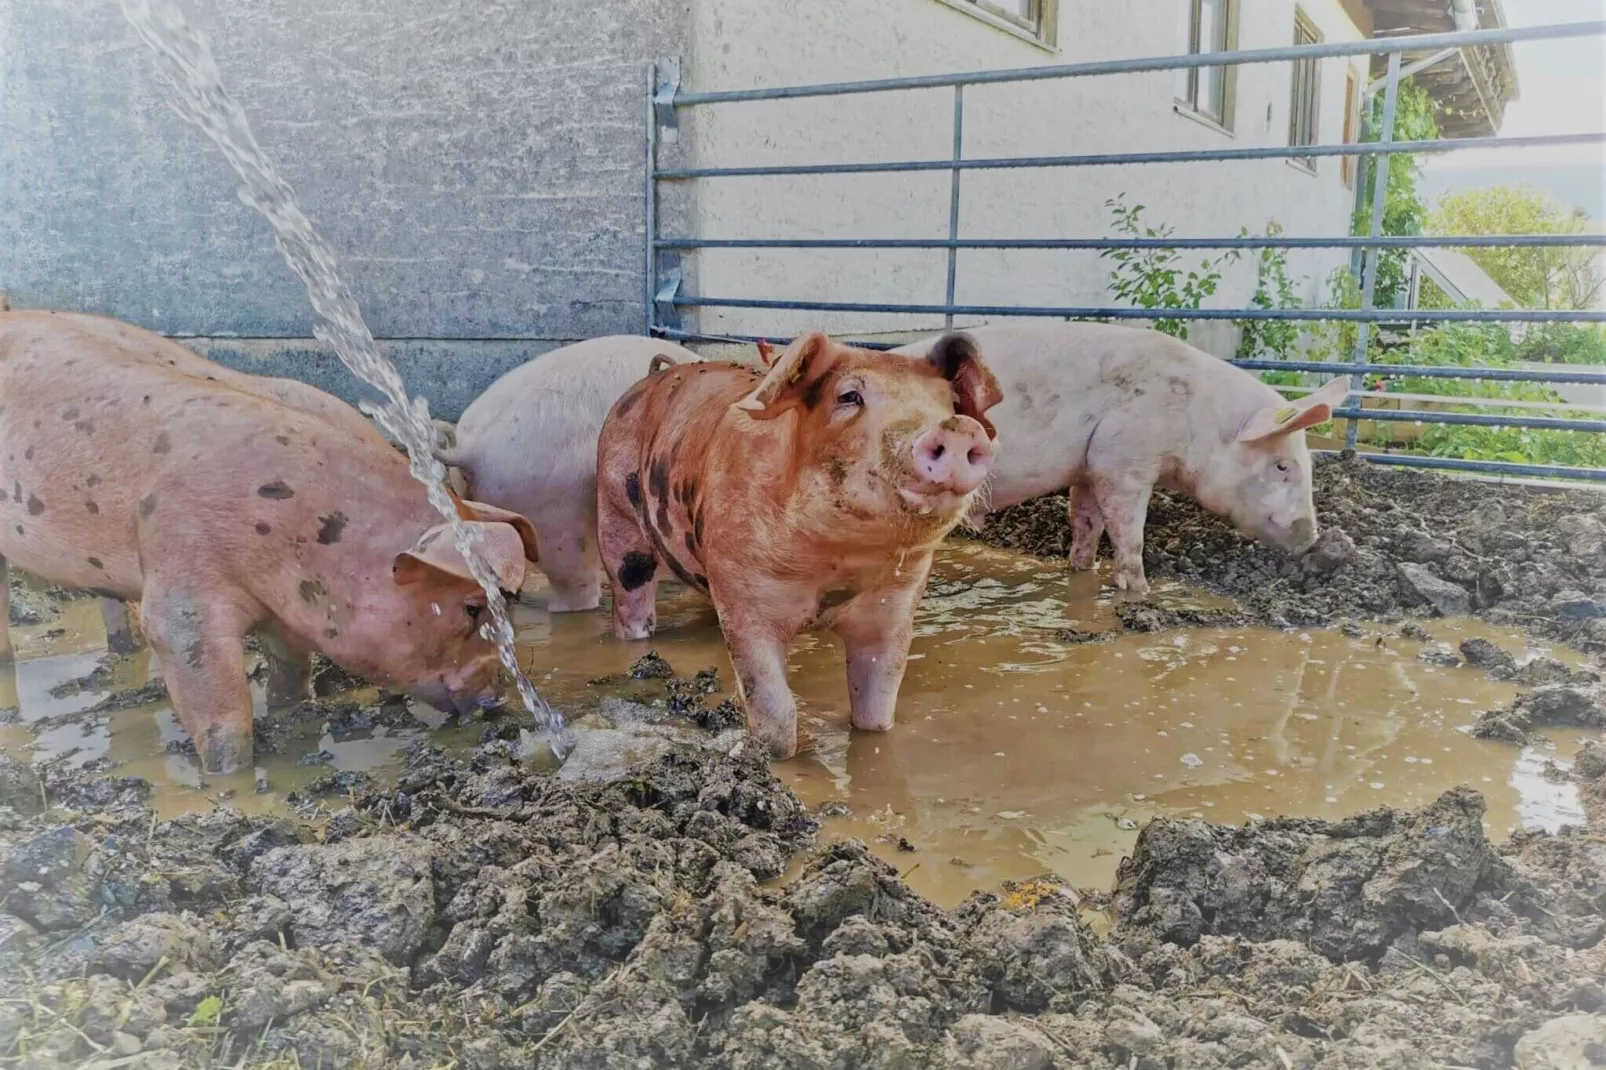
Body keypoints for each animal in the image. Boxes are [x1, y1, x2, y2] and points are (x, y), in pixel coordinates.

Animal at [0, 308, 539, 767]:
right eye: (472, 608)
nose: (497, 700)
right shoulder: (182, 591)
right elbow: (221, 715)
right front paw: (230, 777)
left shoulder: (287, 615)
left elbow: (289, 678)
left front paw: (289, 716)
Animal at [597, 329, 995, 755]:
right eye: (848, 396)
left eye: (948, 402)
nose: (957, 427)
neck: (837, 563)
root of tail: (648, 380)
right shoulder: (742, 593)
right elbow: (773, 708)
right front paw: (775, 755)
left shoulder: (895, 604)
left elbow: (879, 701)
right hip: (616, 518)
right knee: (631, 596)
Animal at [899, 321, 1349, 594]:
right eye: (1282, 466)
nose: (1311, 537)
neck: (1198, 421)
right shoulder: (1122, 458)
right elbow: (1128, 530)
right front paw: (1140, 591)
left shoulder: (1087, 465)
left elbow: (1087, 523)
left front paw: (1081, 571)